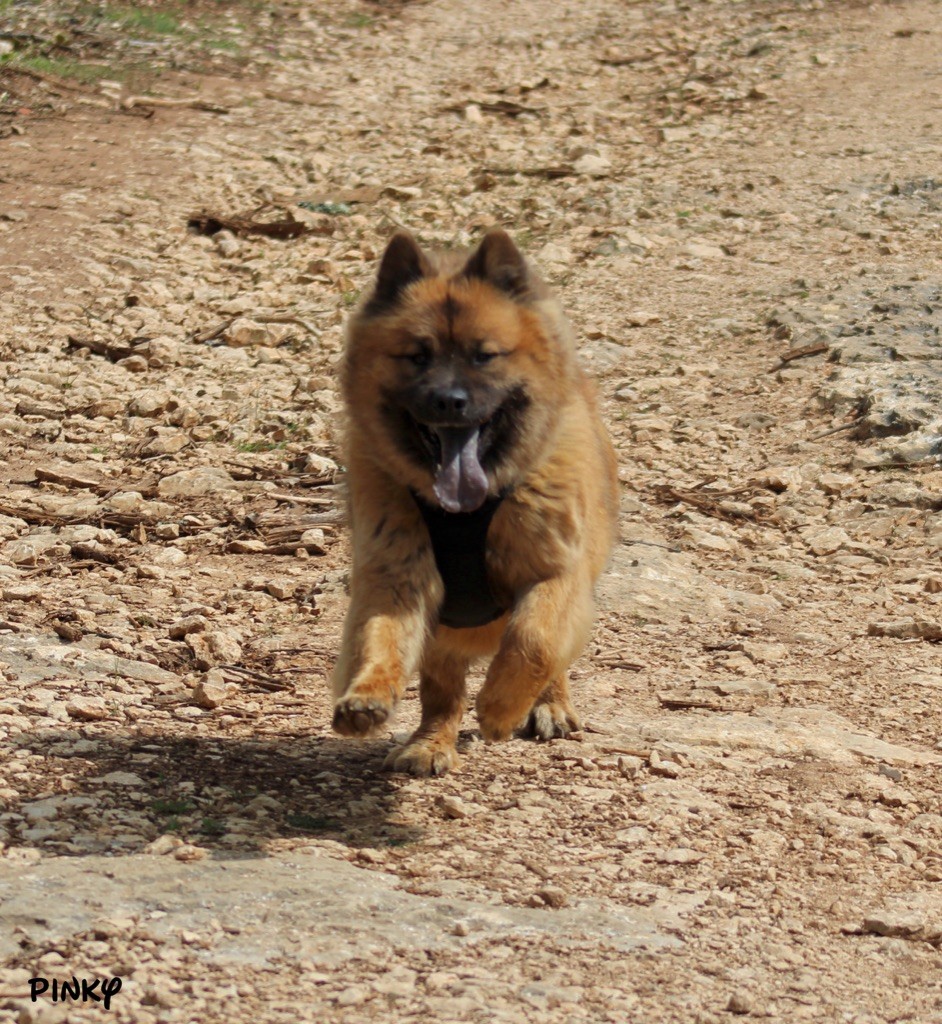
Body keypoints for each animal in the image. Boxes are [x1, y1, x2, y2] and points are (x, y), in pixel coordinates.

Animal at [331, 228, 618, 774]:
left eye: (484, 355)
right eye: (417, 355)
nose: (449, 401)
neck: (468, 511)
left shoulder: (555, 573)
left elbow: (534, 641)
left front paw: (502, 708)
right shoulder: (396, 576)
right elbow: (380, 638)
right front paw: (367, 696)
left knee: (551, 655)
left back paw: (548, 705)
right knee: (442, 697)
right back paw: (430, 742)